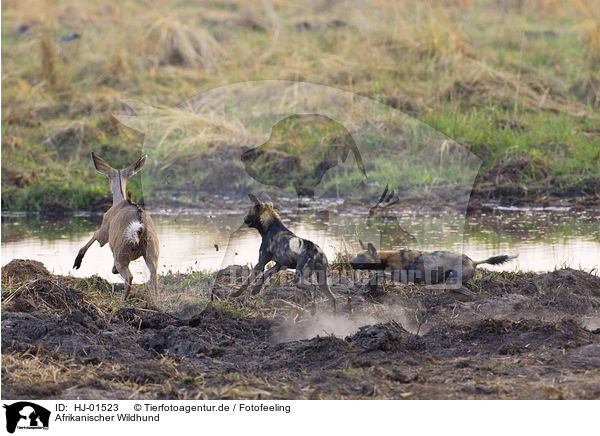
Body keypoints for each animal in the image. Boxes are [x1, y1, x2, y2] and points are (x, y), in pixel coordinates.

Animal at [72, 153, 159, 300]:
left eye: (108, 178)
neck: (120, 201)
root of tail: (139, 227)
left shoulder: (104, 231)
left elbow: (95, 235)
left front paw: (77, 261)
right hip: (152, 252)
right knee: (154, 275)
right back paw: (155, 298)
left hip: (121, 253)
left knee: (129, 276)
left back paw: (122, 300)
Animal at [350, 240, 516, 284]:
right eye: (356, 254)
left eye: (361, 257)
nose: (350, 262)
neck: (386, 257)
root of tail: (472, 260)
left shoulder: (403, 278)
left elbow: (379, 274)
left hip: (452, 279)